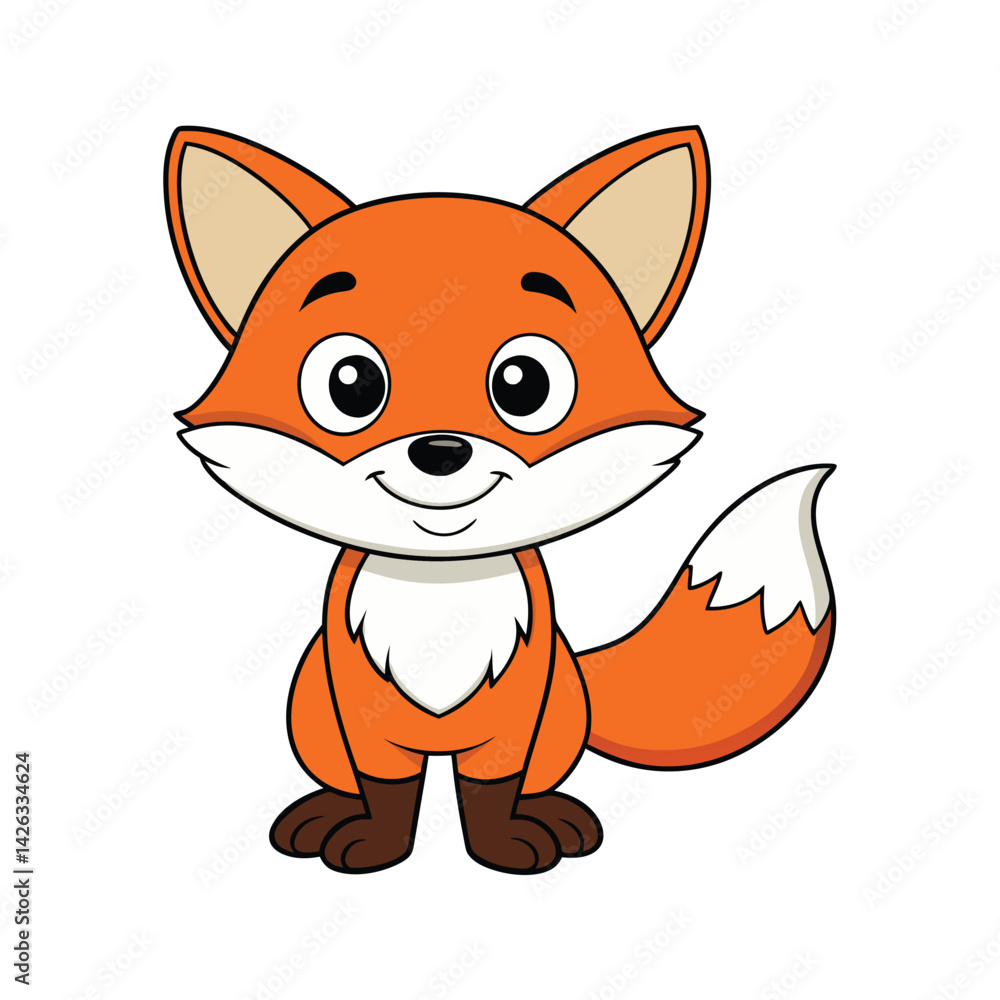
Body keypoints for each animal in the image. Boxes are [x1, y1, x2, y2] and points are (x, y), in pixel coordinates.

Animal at [164, 125, 835, 874]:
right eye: (351, 384)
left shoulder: (516, 710)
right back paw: (323, 814)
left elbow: (492, 787)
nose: (440, 451)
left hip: (561, 710)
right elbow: (386, 788)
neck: (440, 586)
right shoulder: (362, 709)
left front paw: (504, 846)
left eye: (524, 384)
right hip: (311, 708)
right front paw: (376, 844)